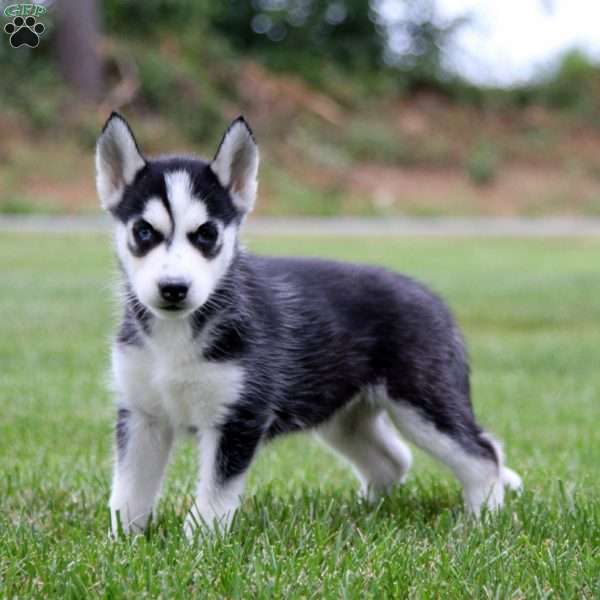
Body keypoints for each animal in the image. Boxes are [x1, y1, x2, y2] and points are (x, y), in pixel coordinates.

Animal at [95, 115, 520, 536]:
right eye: (143, 231)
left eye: (207, 234)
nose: (173, 288)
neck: (176, 336)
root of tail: (431, 296)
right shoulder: (141, 416)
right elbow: (128, 493)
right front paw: (123, 543)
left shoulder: (238, 419)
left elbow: (214, 499)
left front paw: (201, 544)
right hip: (344, 419)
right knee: (395, 461)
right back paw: (363, 513)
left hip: (422, 405)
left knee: (484, 454)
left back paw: (482, 521)